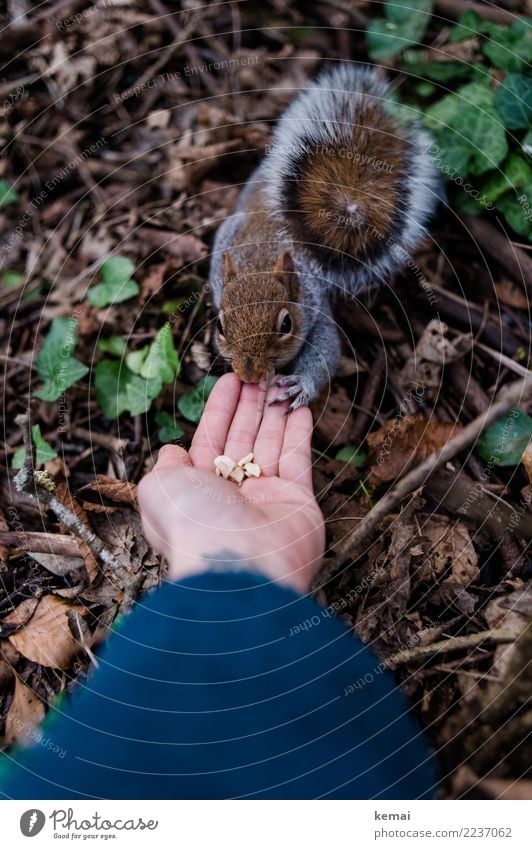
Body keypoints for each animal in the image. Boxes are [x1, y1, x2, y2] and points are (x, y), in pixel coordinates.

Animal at [210, 63, 438, 410]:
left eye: (286, 325)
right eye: (220, 326)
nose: (248, 375)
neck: (260, 261)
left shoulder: (314, 304)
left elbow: (326, 350)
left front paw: (301, 384)